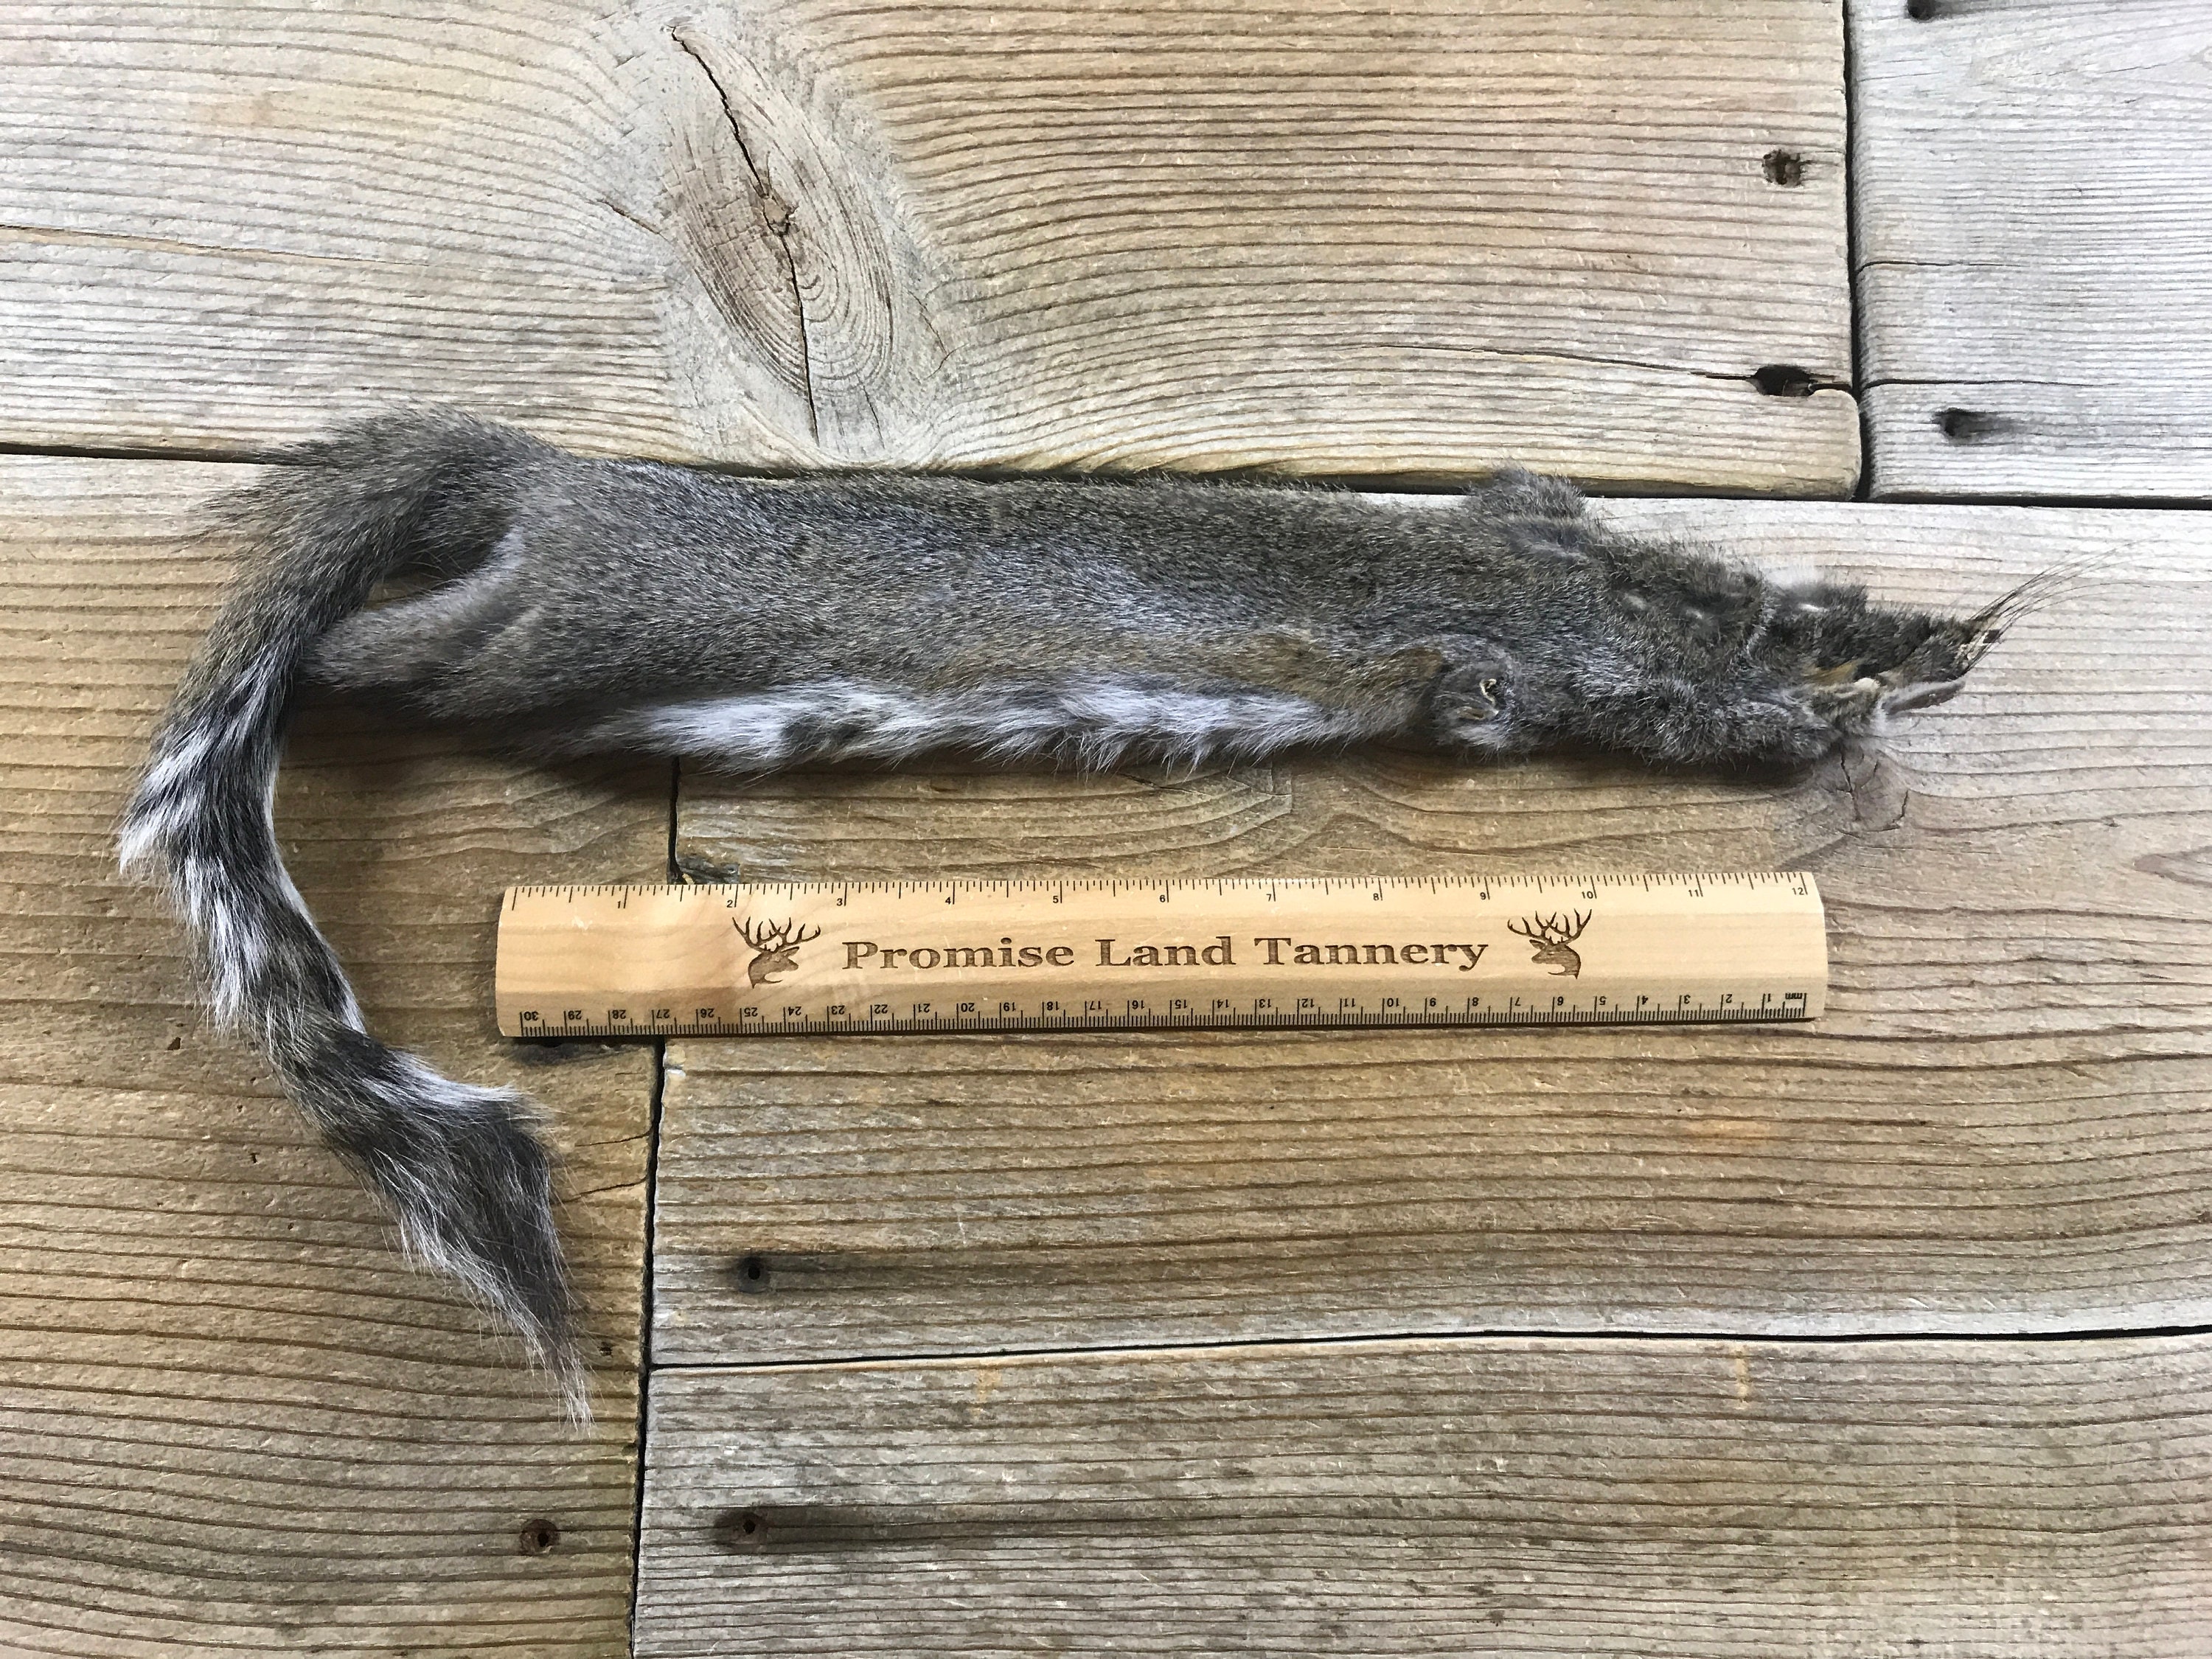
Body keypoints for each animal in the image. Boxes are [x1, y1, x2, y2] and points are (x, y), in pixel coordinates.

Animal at [120, 409, 2038, 1419]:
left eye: (1763, 586)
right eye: (1720, 664)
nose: (1876, 654)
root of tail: (533, 473)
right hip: (547, 633)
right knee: (383, 651)